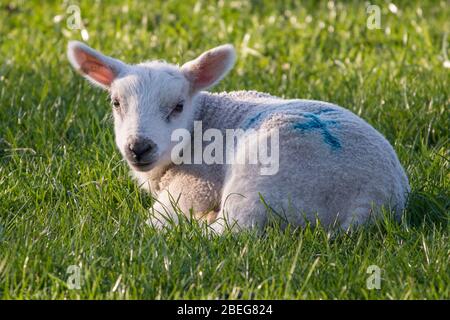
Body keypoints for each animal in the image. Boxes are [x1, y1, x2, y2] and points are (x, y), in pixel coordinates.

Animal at [67, 41, 412, 234]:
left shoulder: (196, 184)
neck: (201, 124)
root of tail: (374, 200)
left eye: (178, 106)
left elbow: (159, 220)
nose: (138, 147)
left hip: (264, 181)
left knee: (233, 230)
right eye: (116, 103)